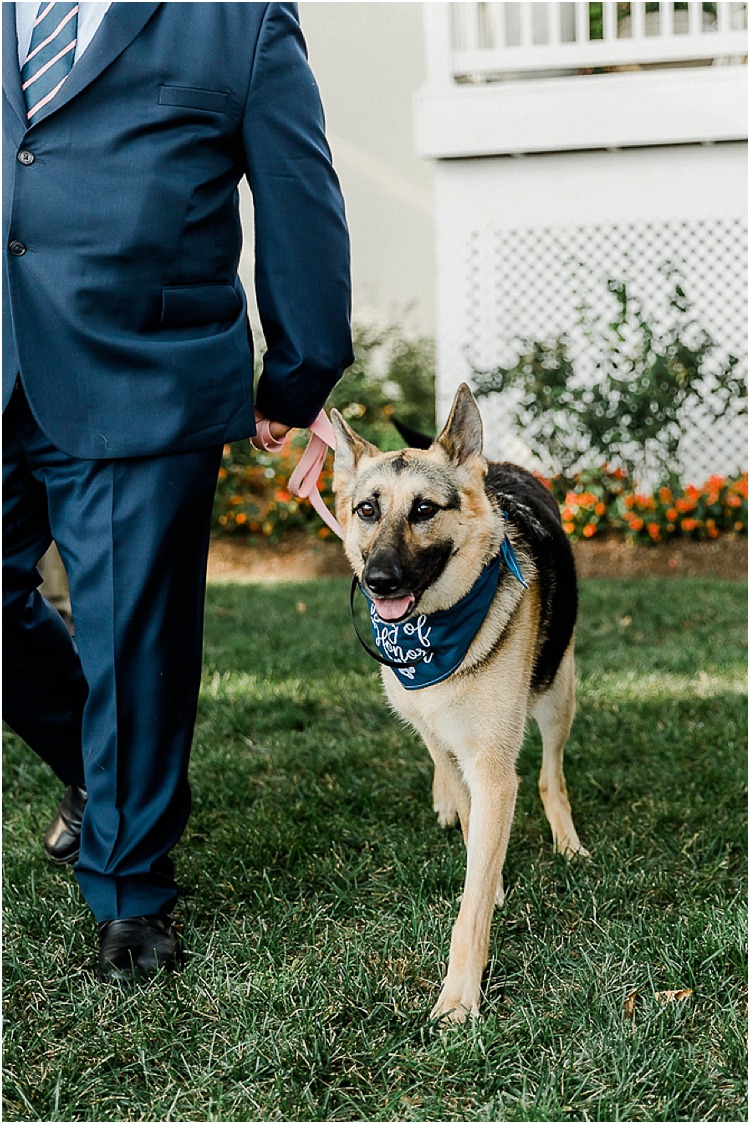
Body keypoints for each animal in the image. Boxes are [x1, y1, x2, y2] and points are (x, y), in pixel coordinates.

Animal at [330, 382, 589, 1025]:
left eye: (424, 510)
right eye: (367, 510)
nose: (380, 580)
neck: (434, 634)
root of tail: (500, 467)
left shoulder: (494, 769)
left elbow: (469, 909)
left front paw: (458, 995)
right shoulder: (442, 734)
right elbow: (472, 827)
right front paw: (484, 868)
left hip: (558, 692)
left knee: (550, 774)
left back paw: (567, 842)